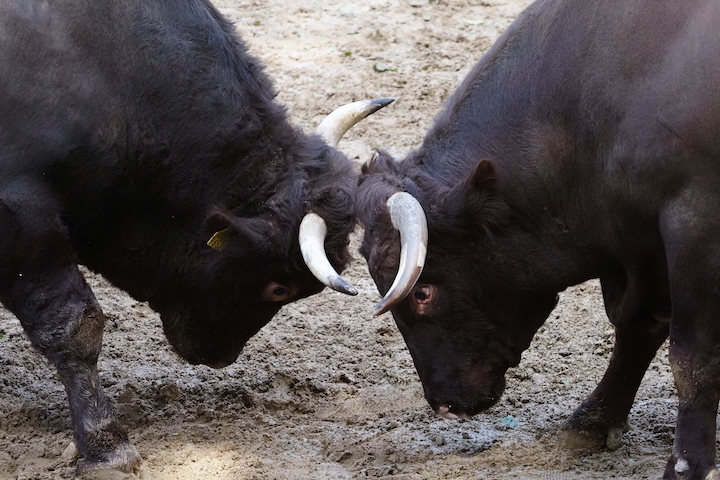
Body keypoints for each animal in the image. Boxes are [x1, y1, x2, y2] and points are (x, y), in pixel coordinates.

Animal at [358, 0, 720, 480]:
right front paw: (592, 420)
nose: (444, 405)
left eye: (422, 292)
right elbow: (637, 329)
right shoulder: (643, 245)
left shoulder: (694, 221)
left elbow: (692, 357)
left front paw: (688, 464)